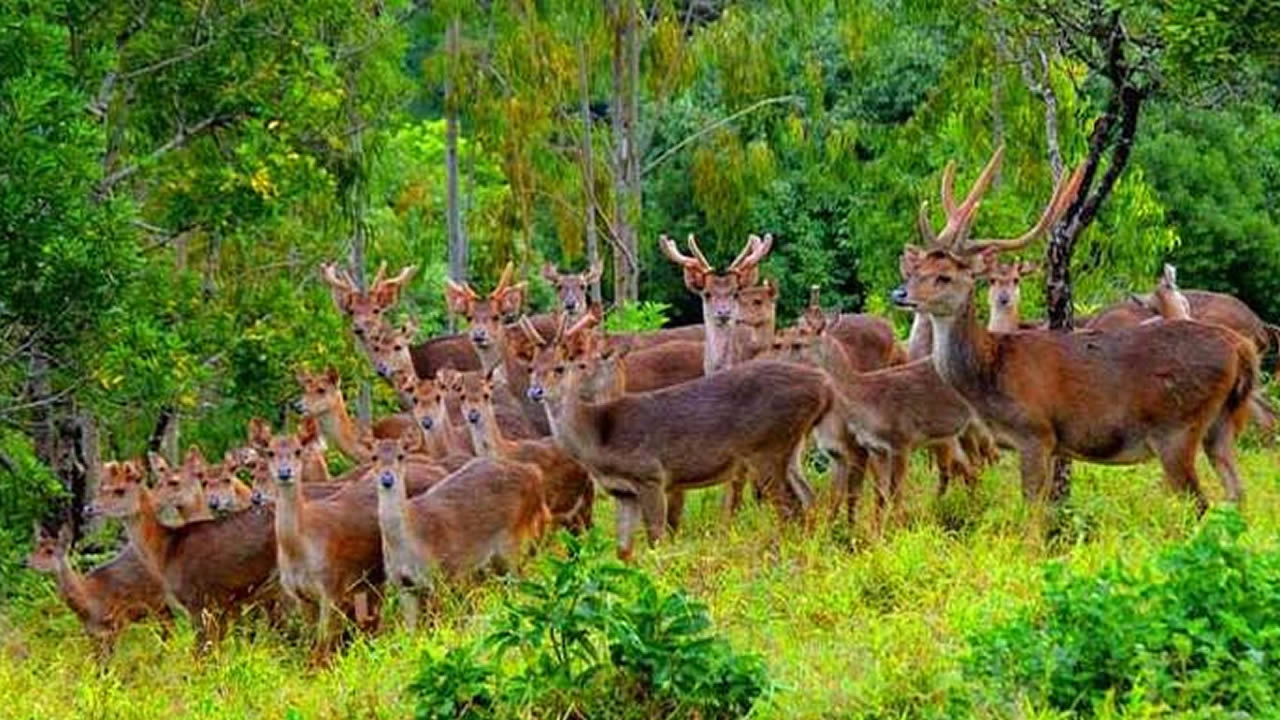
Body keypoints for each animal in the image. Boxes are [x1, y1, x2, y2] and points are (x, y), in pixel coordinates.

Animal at [85, 459, 280, 650]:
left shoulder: (199, 599)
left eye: (120, 490)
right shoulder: (218, 604)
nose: (88, 508)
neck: (166, 551)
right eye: (102, 487)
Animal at [369, 437, 549, 629]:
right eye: (374, 457)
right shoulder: (403, 585)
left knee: (520, 581)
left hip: (514, 537)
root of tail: (535, 474)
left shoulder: (443, 573)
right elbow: (411, 631)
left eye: (401, 456)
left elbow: (443, 621)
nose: (387, 479)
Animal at [526, 314, 851, 561]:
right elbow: (623, 550)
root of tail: (824, 387)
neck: (599, 437)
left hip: (768, 446)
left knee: (788, 506)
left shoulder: (650, 474)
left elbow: (656, 537)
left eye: (560, 368)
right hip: (792, 446)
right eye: (531, 368)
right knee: (809, 499)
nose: (534, 391)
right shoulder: (622, 492)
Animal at [893, 145, 1257, 512]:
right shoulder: (1049, 445)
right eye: (917, 269)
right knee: (1237, 493)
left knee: (1201, 503)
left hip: (1177, 428)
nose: (899, 294)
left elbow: (1032, 512)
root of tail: (1242, 349)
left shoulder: (1035, 432)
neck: (991, 372)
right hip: (1222, 424)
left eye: (944, 277)